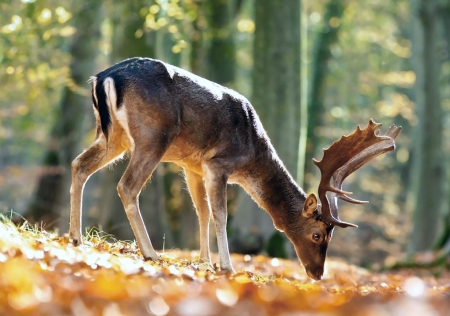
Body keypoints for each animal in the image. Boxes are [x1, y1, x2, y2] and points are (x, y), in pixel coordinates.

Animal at [69, 56, 400, 278]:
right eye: (318, 234)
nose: (318, 274)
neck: (252, 153)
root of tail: (103, 77)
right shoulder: (218, 163)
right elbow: (220, 215)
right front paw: (226, 266)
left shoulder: (192, 165)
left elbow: (201, 212)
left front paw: (205, 261)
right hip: (153, 136)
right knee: (127, 186)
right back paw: (150, 253)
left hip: (114, 136)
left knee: (79, 164)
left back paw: (76, 237)